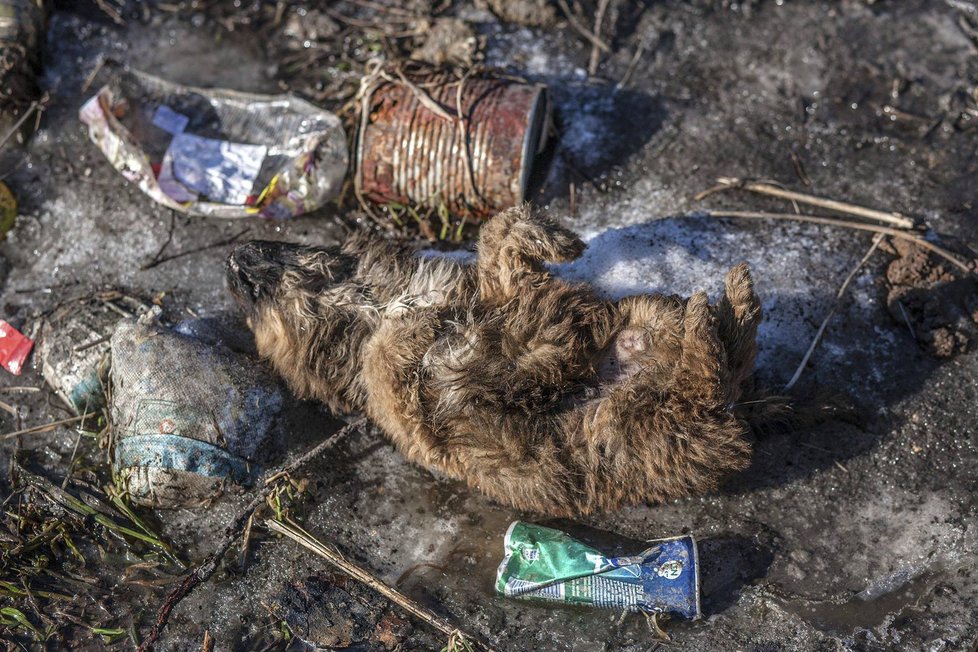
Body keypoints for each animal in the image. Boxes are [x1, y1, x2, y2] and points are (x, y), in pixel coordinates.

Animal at [225, 206, 760, 516]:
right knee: (711, 376)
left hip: (646, 319)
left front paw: (555, 238)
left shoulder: (495, 289)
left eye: (277, 245)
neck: (369, 303)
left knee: (726, 358)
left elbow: (497, 236)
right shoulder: (393, 382)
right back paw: (715, 312)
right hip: (646, 426)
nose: (234, 256)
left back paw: (729, 300)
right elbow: (400, 350)